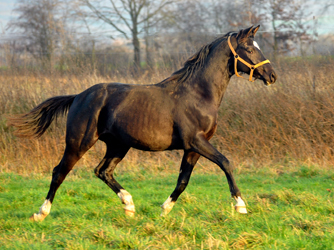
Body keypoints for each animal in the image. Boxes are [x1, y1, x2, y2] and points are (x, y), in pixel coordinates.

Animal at [9, 24, 276, 221]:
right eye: (250, 48)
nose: (272, 76)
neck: (198, 94)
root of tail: (78, 96)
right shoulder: (196, 141)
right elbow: (225, 163)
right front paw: (240, 206)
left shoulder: (193, 148)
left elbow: (183, 180)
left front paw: (164, 210)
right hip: (78, 143)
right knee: (60, 172)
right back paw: (41, 213)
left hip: (118, 145)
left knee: (102, 171)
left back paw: (129, 205)